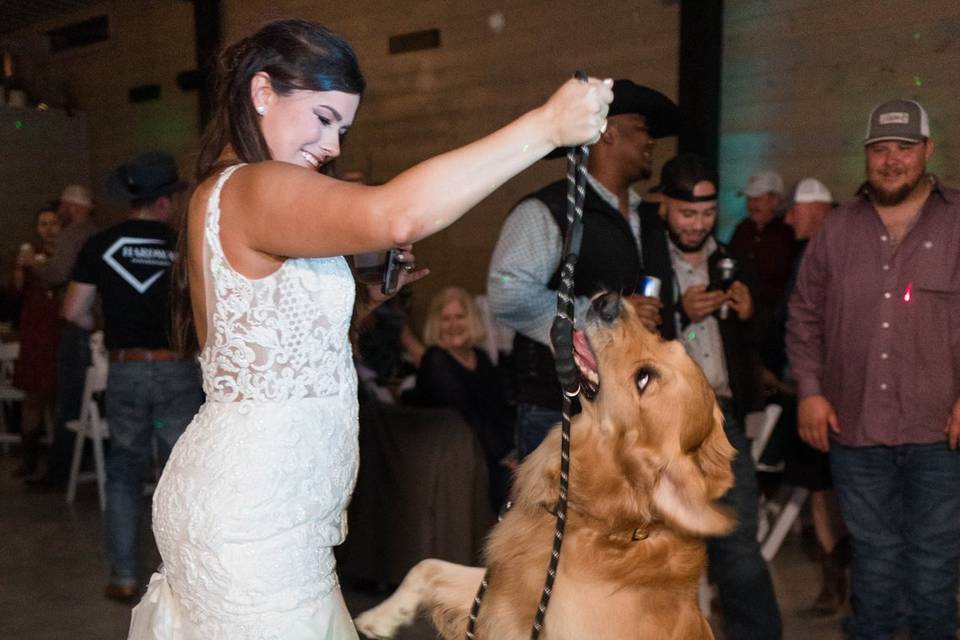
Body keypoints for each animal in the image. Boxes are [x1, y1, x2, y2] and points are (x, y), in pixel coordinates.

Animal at [356, 294, 740, 640]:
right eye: (664, 339)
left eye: (643, 378)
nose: (609, 301)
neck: (595, 523)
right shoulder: (500, 593)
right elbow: (426, 566)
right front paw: (381, 616)